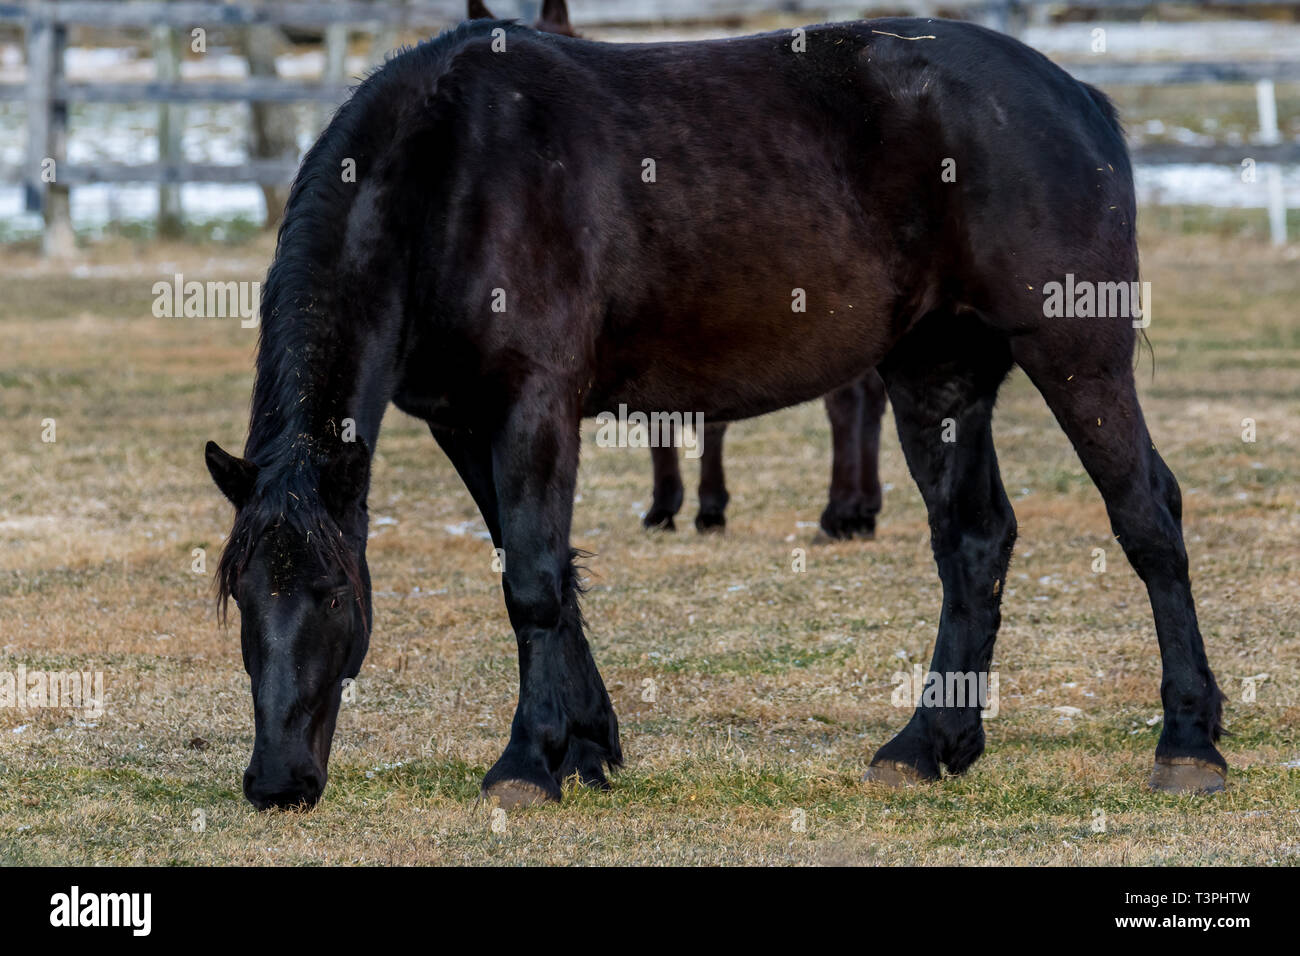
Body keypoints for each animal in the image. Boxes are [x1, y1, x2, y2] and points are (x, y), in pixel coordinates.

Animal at [473, 0, 889, 538]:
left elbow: (706, 416)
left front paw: (707, 506)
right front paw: (667, 505)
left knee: (848, 400)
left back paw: (842, 510)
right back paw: (861, 508)